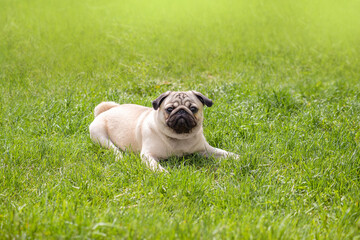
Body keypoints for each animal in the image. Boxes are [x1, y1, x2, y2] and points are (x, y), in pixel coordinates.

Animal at [88, 91, 238, 172]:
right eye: (169, 109)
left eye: (193, 109)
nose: (182, 111)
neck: (179, 137)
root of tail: (108, 109)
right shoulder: (148, 155)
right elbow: (155, 166)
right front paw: (163, 173)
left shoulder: (206, 150)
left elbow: (225, 153)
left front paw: (237, 157)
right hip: (100, 135)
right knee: (113, 148)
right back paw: (120, 156)